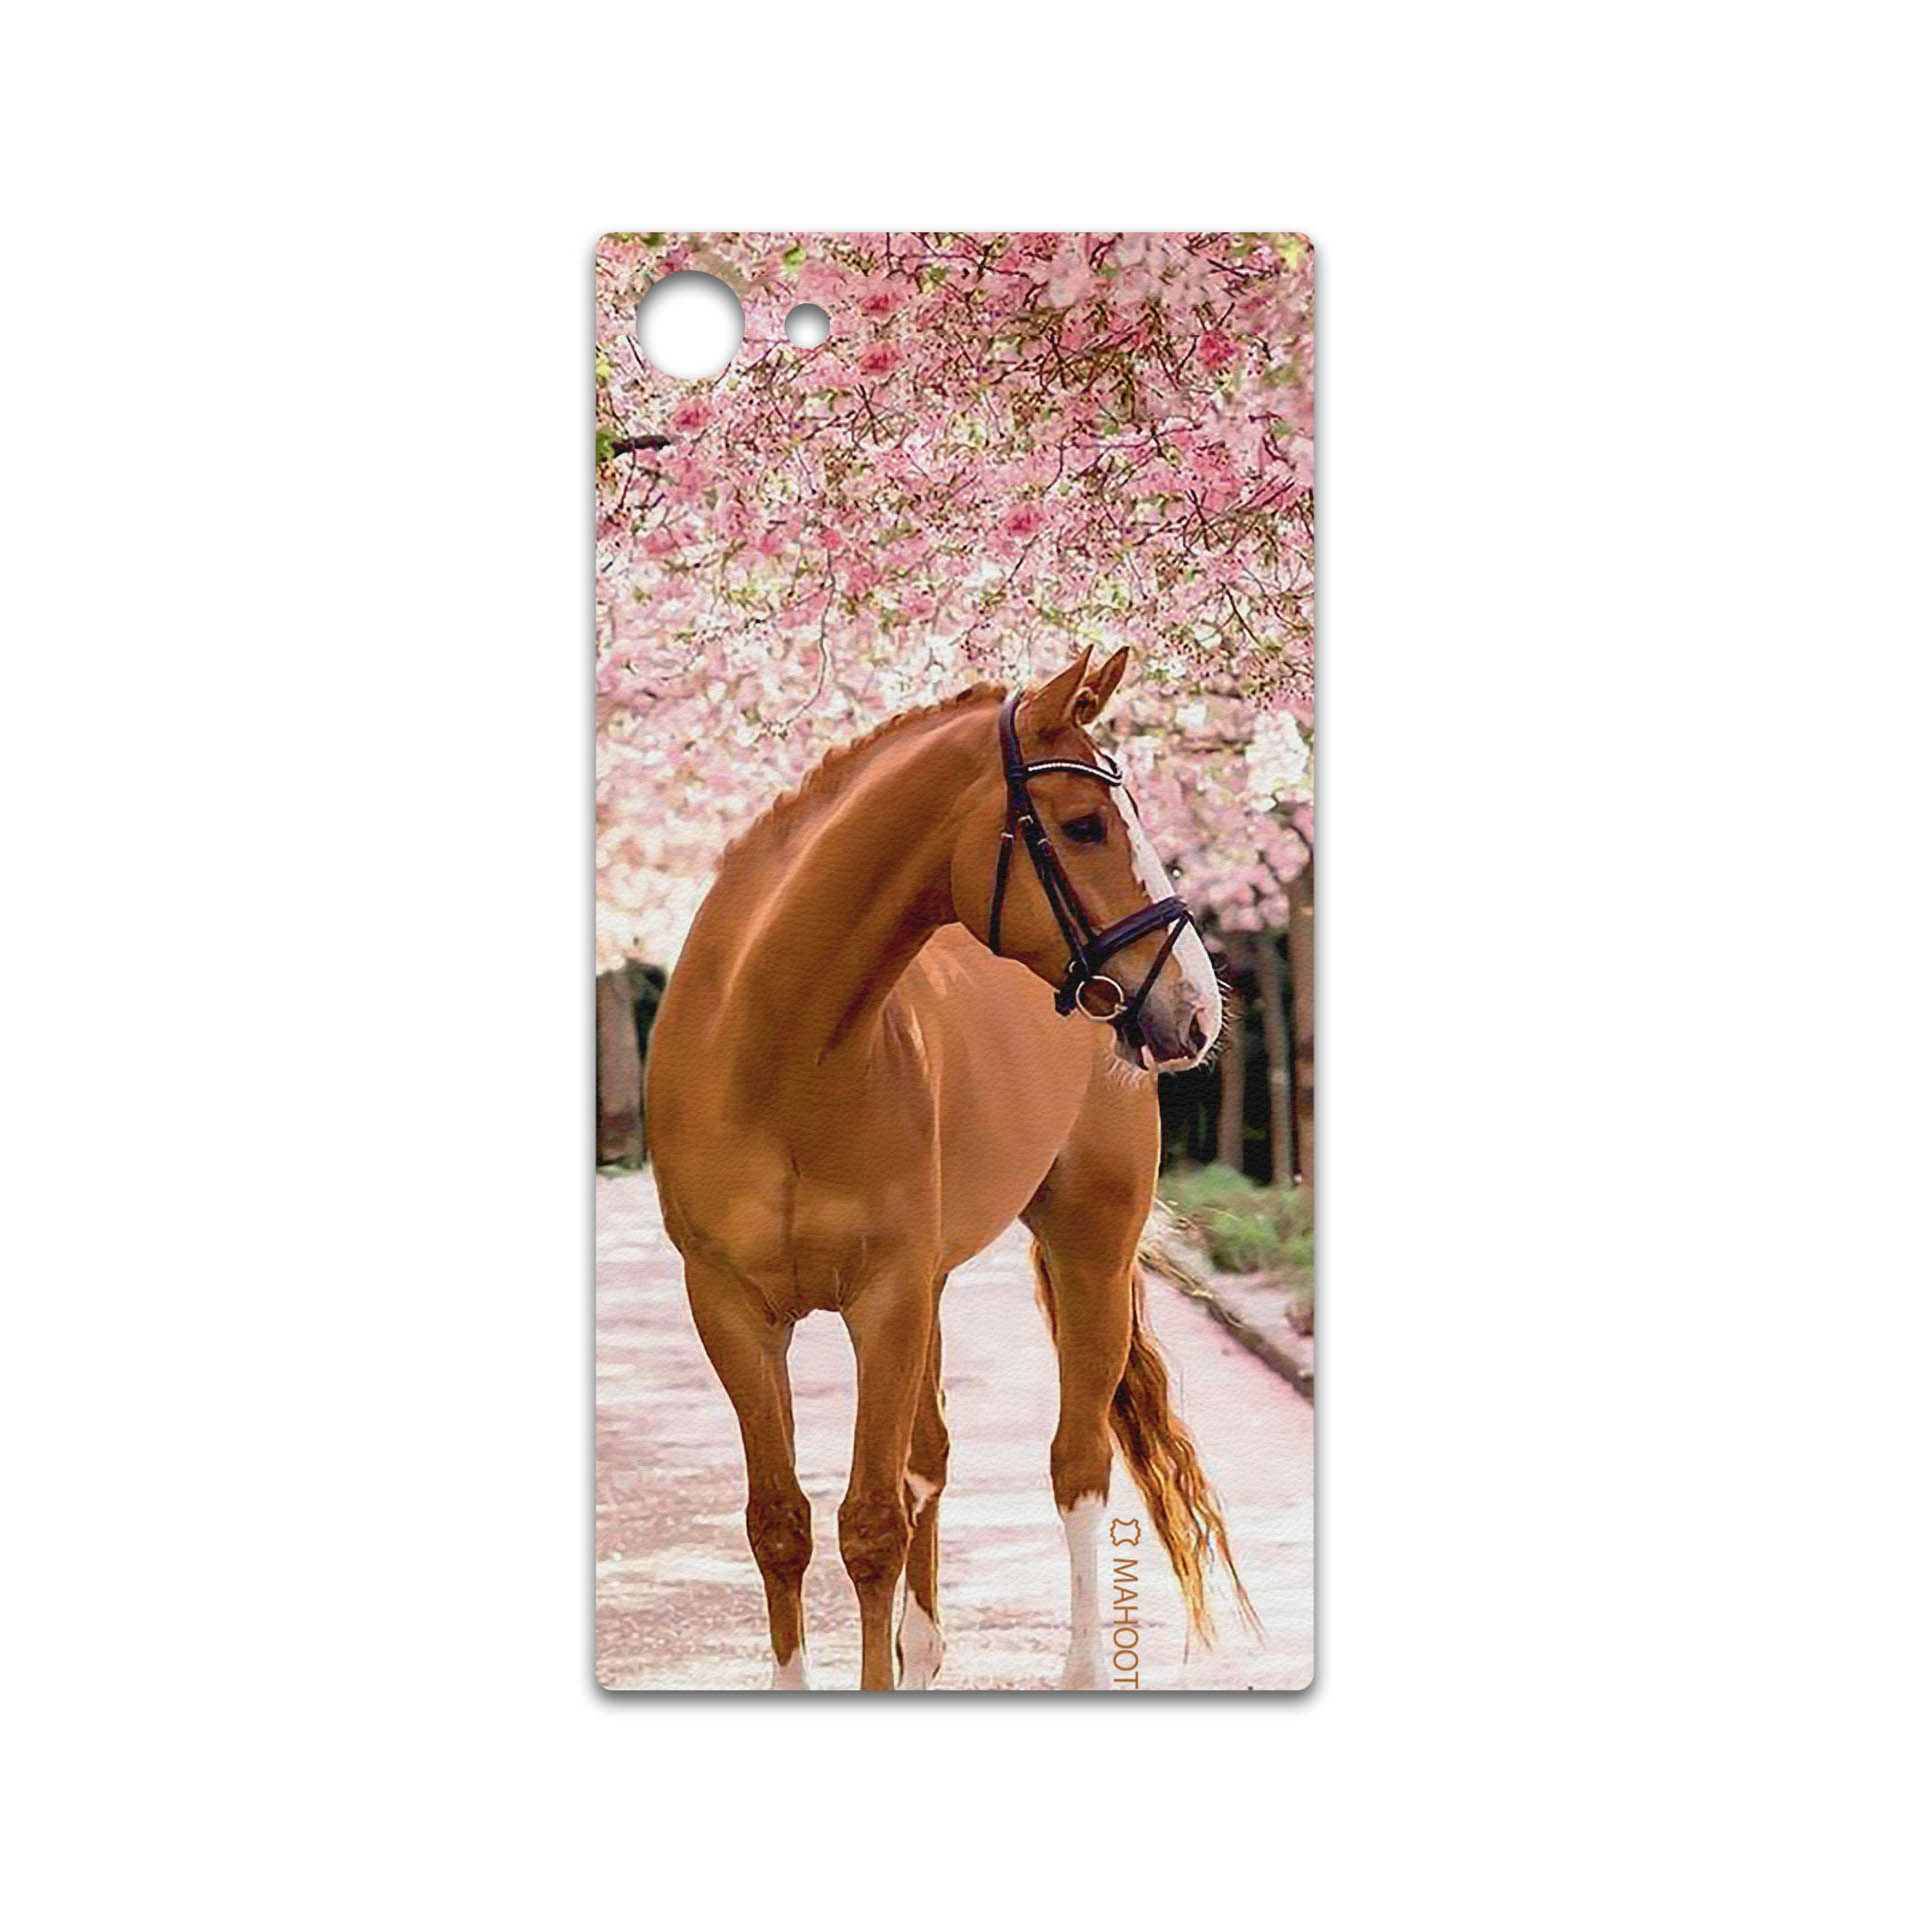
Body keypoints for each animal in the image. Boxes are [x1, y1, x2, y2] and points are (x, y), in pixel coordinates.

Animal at [645, 646, 1248, 1689]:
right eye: (1084, 824)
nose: (1196, 1009)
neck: (773, 1053)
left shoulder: (883, 1299)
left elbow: (871, 1525)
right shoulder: (729, 1307)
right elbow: (781, 1525)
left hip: (1089, 1248)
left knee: (1076, 1463)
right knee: (929, 1458)